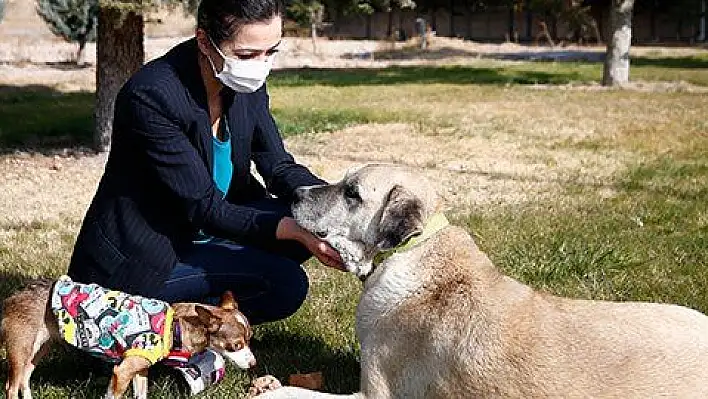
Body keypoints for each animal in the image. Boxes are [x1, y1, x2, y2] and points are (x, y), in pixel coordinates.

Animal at [1, 278, 256, 399]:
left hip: (39, 349)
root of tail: (16, 292)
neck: (174, 326)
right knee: (11, 386)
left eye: (250, 340)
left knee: (25, 378)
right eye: (236, 346)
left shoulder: (140, 371)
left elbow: (140, 394)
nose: (254, 363)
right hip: (20, 348)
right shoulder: (122, 372)